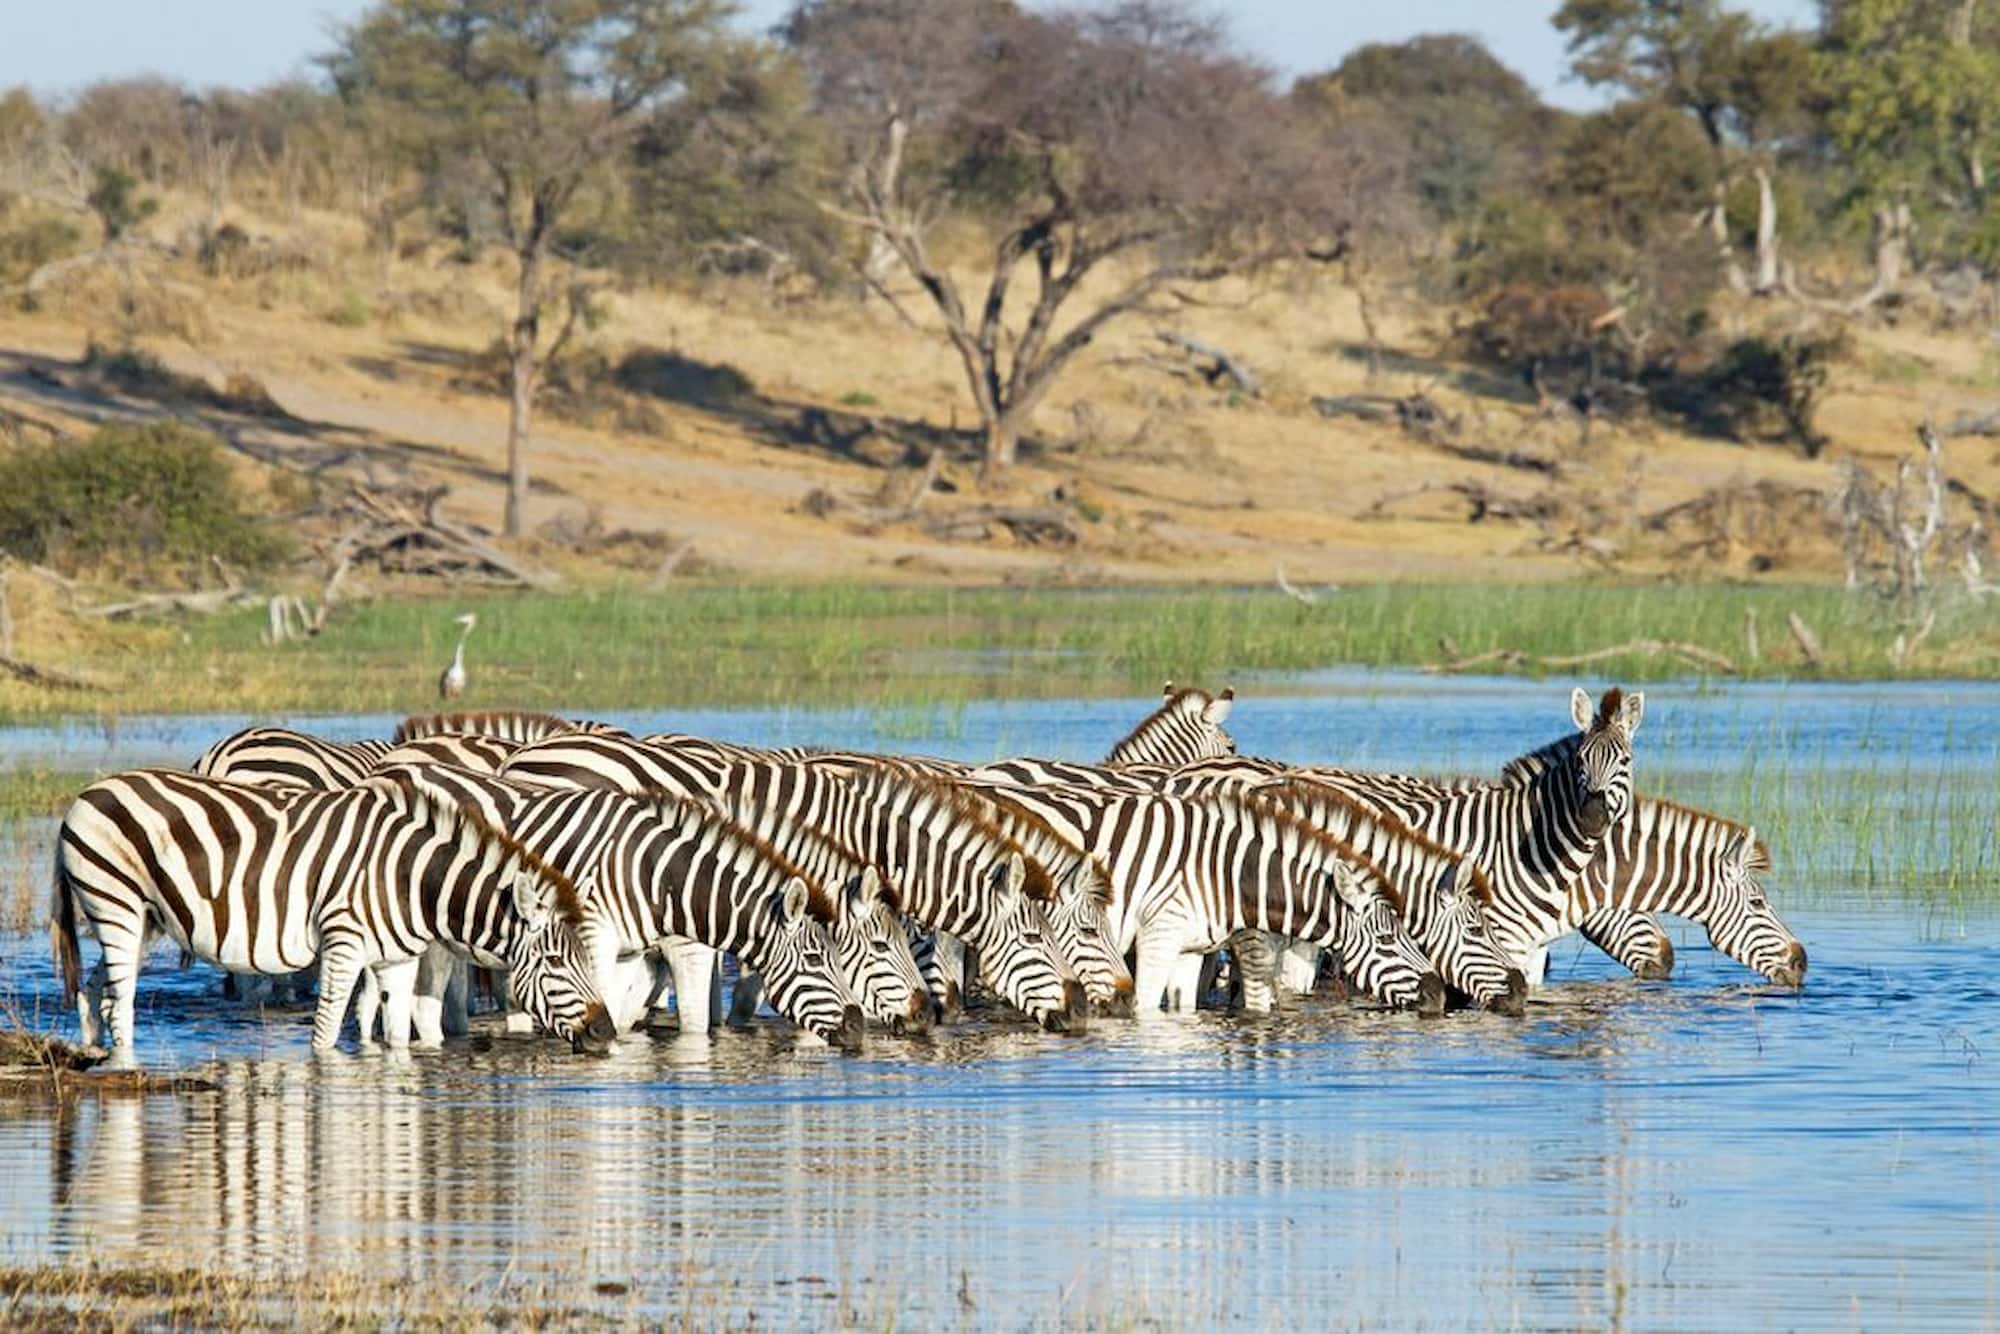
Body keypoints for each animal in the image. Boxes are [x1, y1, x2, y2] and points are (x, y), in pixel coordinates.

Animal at [52, 768, 617, 1059]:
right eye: (556, 963)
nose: (606, 1033)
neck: (411, 880)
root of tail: (91, 791)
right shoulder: (343, 943)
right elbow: (325, 1034)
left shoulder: (397, 959)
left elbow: (396, 1035)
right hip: (116, 903)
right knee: (122, 1004)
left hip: (143, 920)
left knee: (96, 989)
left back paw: (95, 1053)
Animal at [382, 763, 869, 1049]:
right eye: (815, 959)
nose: (858, 1026)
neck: (657, 876)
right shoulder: (600, 941)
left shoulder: (632, 952)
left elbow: (624, 1011)